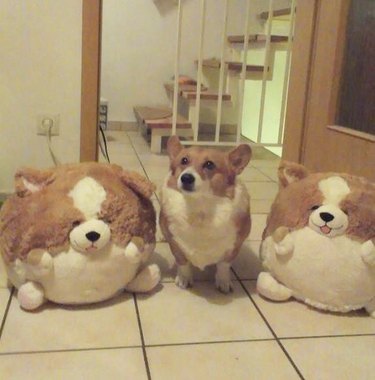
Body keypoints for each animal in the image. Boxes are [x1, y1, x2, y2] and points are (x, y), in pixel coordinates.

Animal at [159, 135, 253, 292]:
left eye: (209, 164)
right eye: (184, 160)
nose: (186, 178)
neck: (200, 207)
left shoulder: (234, 247)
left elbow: (223, 266)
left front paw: (223, 282)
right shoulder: (175, 244)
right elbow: (182, 262)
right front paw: (184, 279)